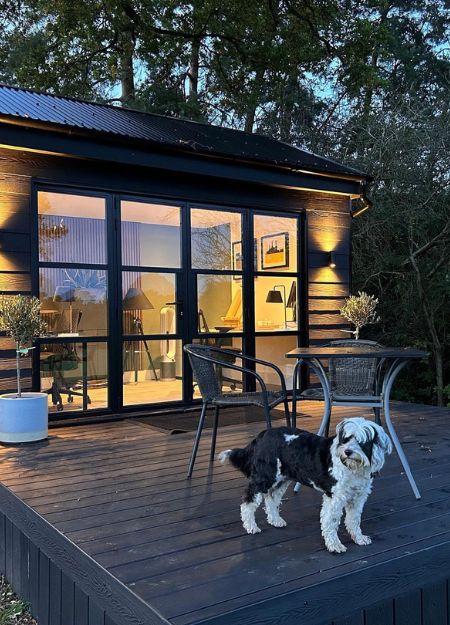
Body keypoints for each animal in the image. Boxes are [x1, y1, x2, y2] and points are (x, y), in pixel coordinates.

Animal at [220, 416, 392, 552]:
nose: (347, 452)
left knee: (271, 499)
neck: (352, 468)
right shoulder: (335, 497)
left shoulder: (358, 497)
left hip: (281, 479)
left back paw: (276, 521)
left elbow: (354, 520)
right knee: (248, 502)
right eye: (347, 439)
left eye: (363, 443)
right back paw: (251, 526)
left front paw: (359, 538)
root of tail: (263, 435)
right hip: (265, 477)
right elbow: (331, 522)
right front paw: (334, 545)